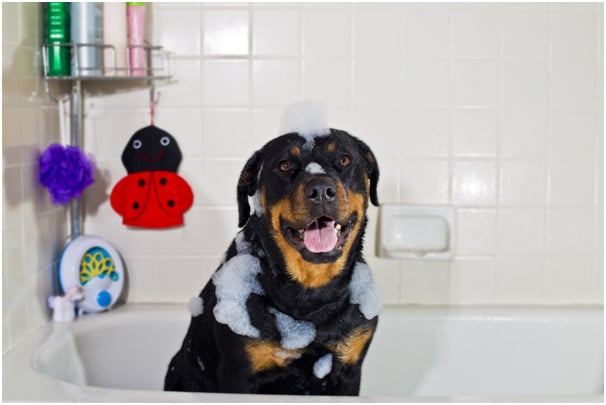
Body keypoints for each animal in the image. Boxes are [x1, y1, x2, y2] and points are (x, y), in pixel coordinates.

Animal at [163, 127, 380, 394]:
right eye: (284, 165)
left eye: (344, 160)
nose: (321, 190)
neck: (310, 291)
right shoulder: (240, 374)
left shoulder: (349, 367)